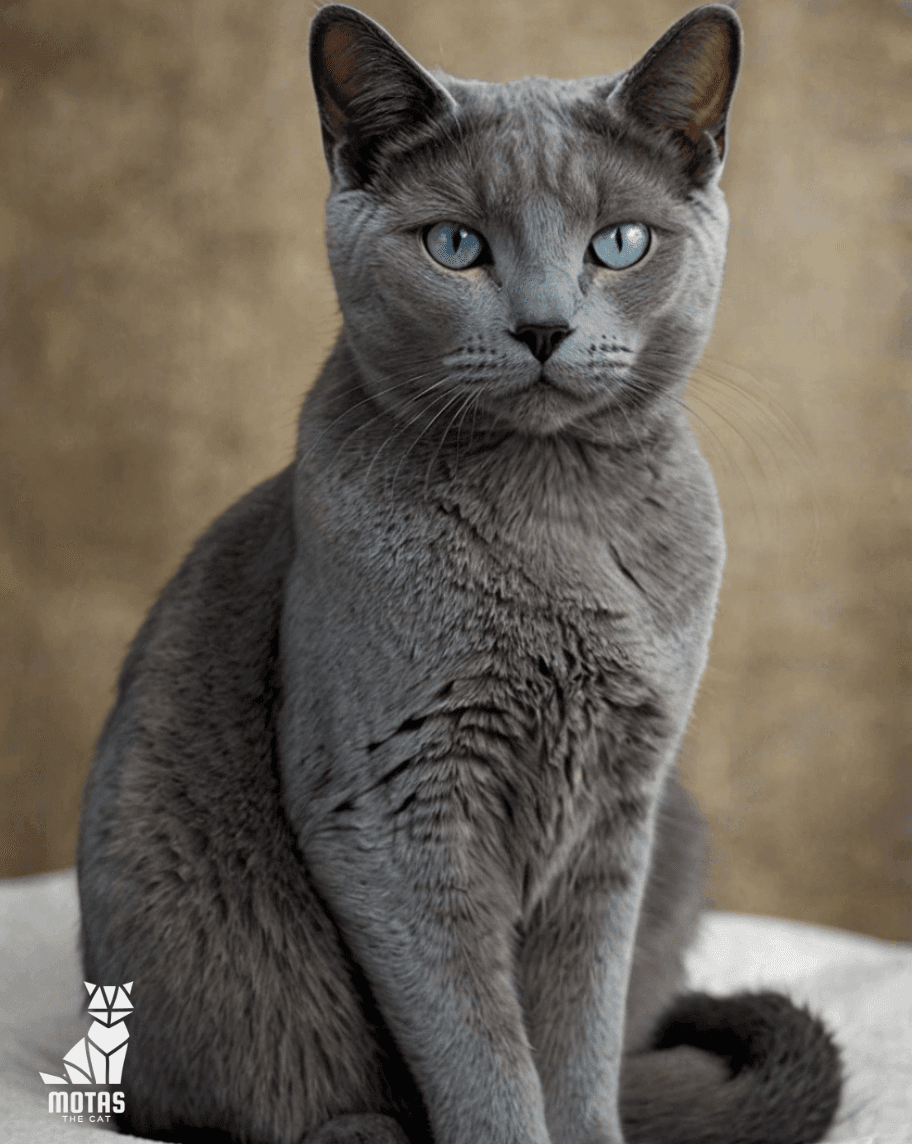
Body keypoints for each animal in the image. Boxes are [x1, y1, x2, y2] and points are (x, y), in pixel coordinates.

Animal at [76, 4, 837, 1139]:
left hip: (682, 828)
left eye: (620, 243)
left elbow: (578, 1040)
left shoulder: (616, 812)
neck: (556, 518)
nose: (544, 326)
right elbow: (483, 1053)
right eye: (456, 245)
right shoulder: (393, 805)